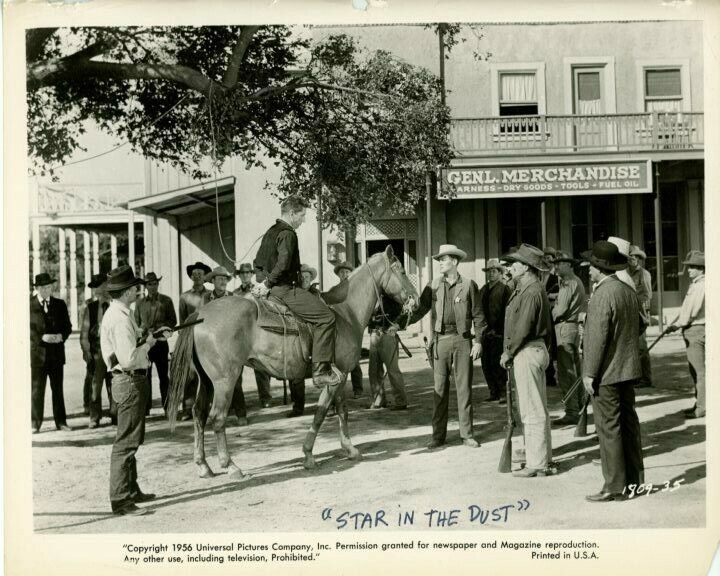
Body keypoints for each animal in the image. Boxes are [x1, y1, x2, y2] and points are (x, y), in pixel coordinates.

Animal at [167, 245, 420, 480]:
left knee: (199, 414)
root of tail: (201, 315)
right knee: (217, 418)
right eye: (401, 271)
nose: (416, 301)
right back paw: (231, 466)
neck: (345, 312)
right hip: (225, 381)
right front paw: (308, 455)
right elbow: (321, 413)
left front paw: (349, 448)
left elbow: (342, 411)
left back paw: (203, 466)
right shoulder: (333, 378)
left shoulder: (341, 376)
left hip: (207, 382)